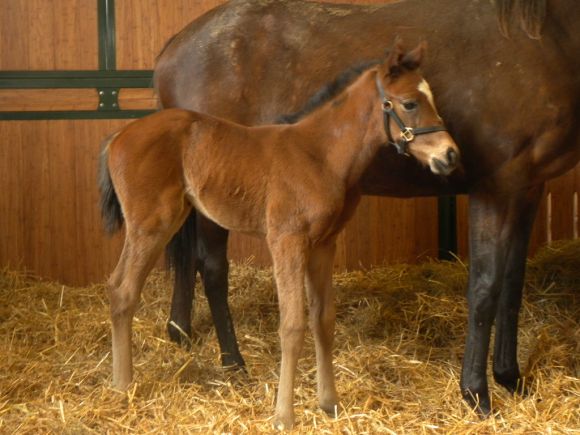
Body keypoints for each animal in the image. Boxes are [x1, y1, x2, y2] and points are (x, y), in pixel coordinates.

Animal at [101, 42, 462, 430]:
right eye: (409, 103)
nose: (450, 155)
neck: (319, 155)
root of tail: (117, 137)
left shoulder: (324, 245)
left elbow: (323, 319)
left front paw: (329, 402)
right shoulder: (287, 241)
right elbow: (292, 325)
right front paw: (283, 416)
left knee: (118, 285)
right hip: (151, 224)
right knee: (123, 290)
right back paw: (123, 386)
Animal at [154, 0, 580, 416]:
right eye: (410, 103)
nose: (449, 155)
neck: (540, 37)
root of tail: (173, 48)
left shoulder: (528, 189)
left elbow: (512, 284)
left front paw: (510, 377)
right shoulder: (497, 188)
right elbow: (486, 287)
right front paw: (476, 393)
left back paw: (181, 331)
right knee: (212, 268)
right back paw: (233, 361)